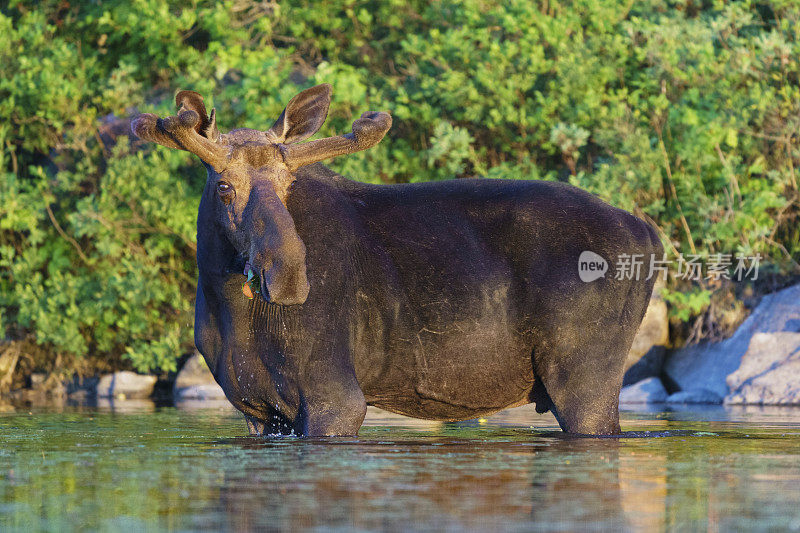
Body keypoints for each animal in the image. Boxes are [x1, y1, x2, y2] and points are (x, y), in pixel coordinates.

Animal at [133, 82, 664, 432]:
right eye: (223, 186)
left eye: (290, 183)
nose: (288, 275)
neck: (227, 305)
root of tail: (649, 234)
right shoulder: (256, 409)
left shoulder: (334, 397)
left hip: (584, 378)